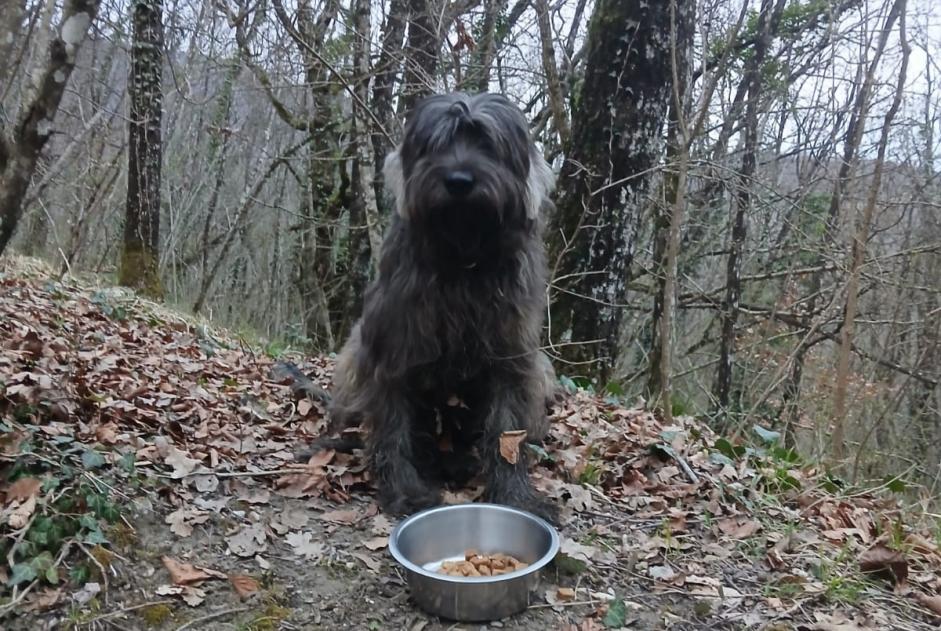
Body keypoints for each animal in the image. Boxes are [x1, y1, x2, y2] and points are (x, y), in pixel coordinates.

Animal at [326, 90, 560, 524]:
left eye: (488, 145)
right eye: (437, 144)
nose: (458, 181)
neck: (463, 259)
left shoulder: (512, 356)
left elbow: (507, 432)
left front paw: (517, 497)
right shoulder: (392, 348)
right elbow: (394, 428)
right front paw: (406, 491)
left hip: (541, 372)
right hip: (354, 355)